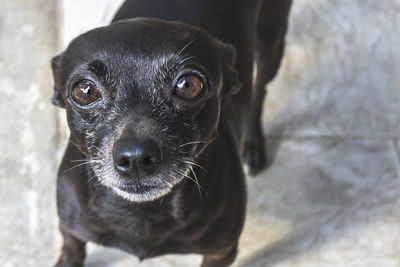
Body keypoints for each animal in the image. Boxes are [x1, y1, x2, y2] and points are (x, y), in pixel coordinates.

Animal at [51, 1, 292, 266]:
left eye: (189, 85)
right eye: (85, 90)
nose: (135, 158)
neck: (142, 211)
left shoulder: (222, 253)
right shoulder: (70, 232)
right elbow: (71, 251)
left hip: (271, 41)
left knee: (260, 86)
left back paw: (253, 142)